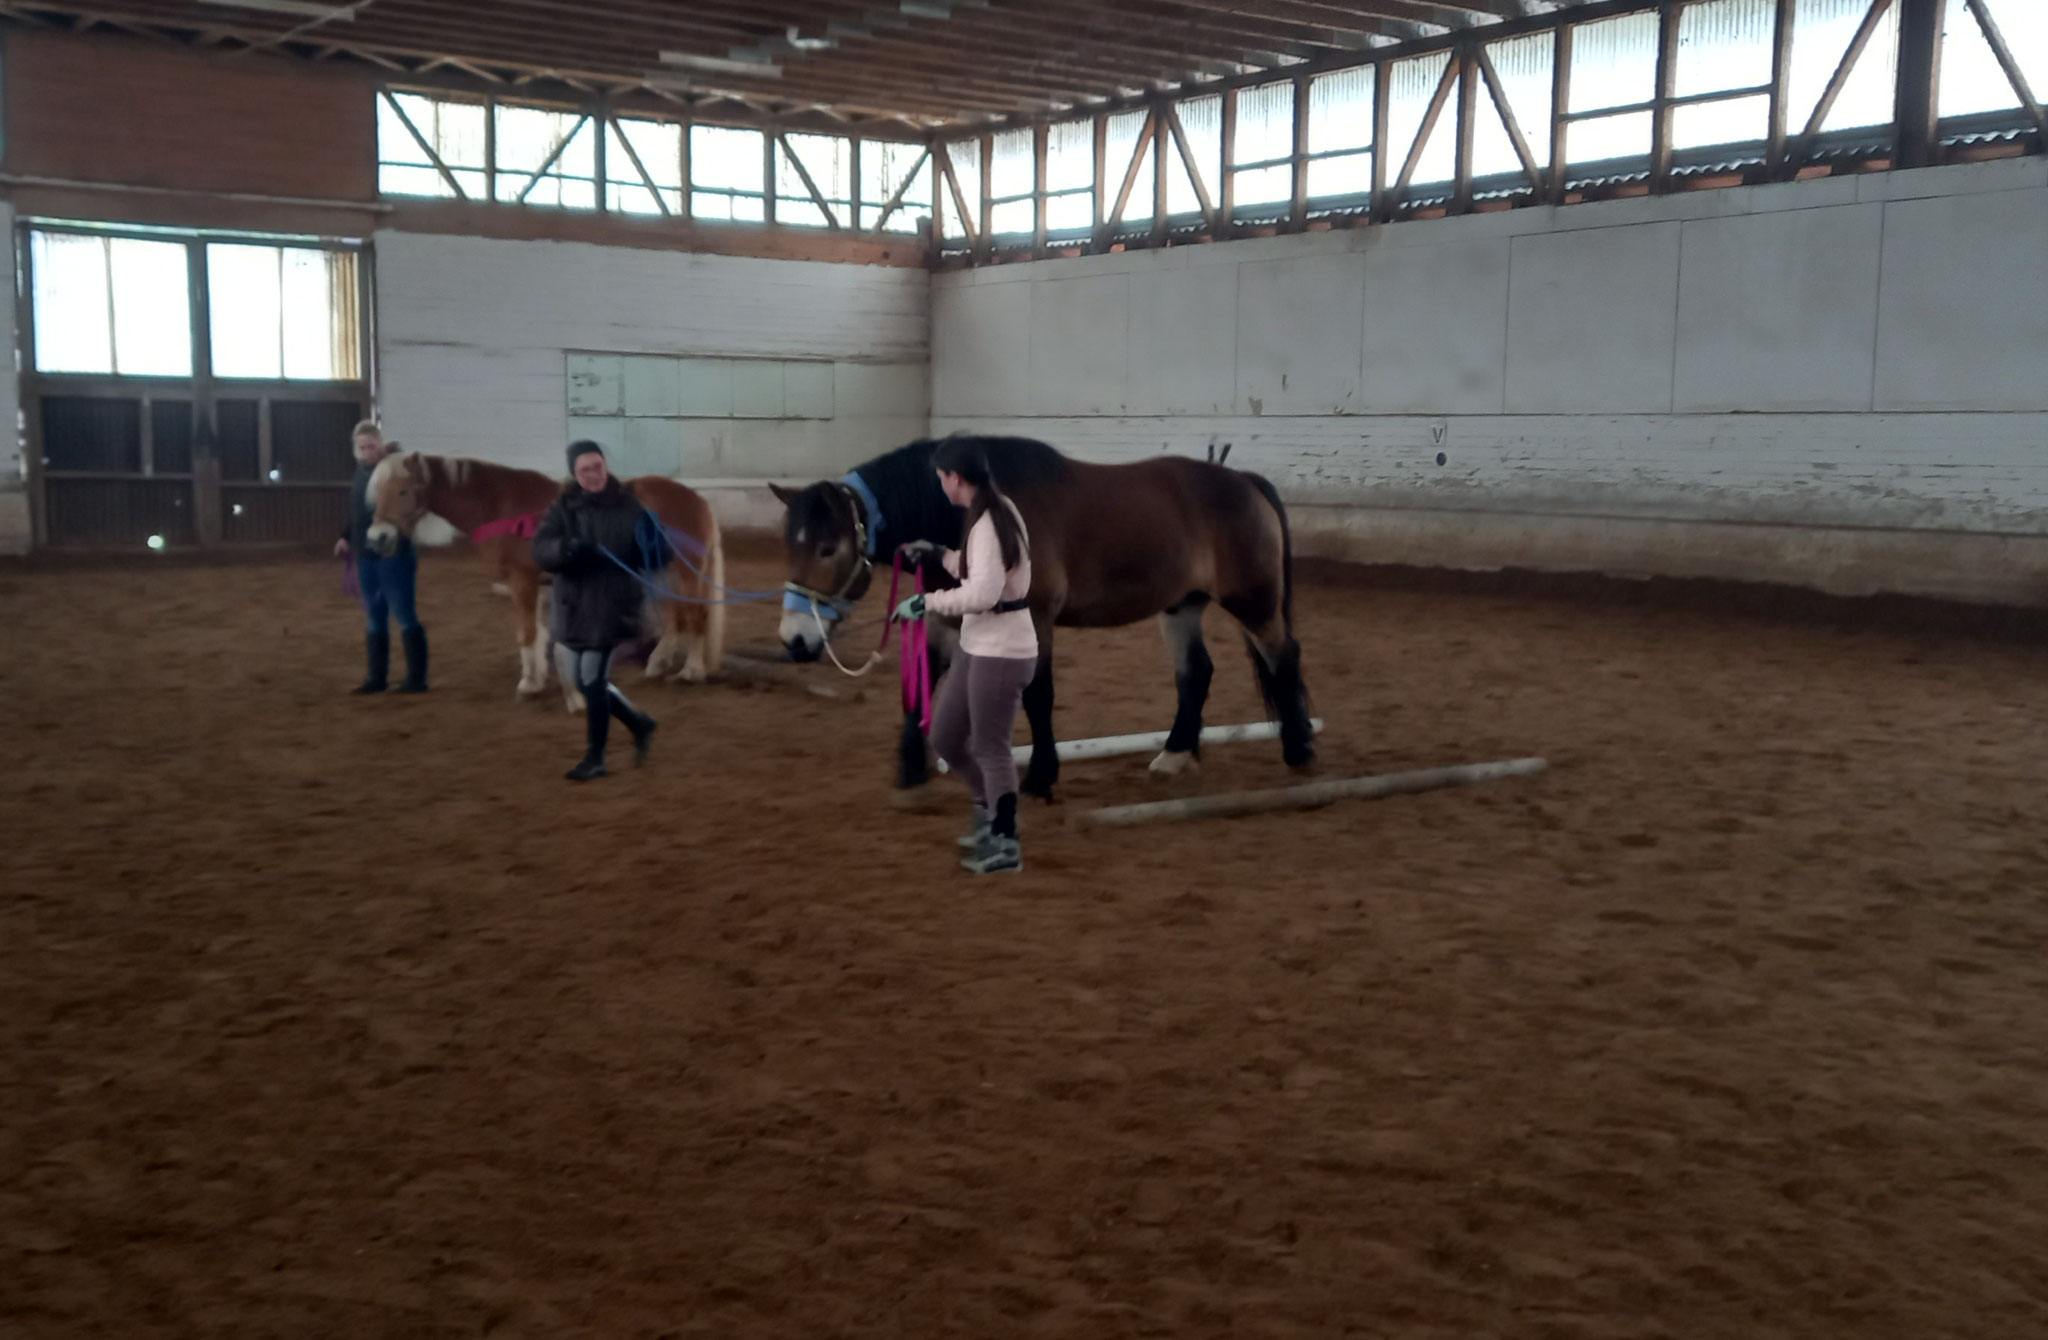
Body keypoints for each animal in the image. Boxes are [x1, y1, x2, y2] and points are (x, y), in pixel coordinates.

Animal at [362, 454, 729, 708]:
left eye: (403, 491)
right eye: (377, 491)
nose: (378, 538)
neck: (498, 506)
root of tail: (696, 500)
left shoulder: (521, 580)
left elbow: (526, 633)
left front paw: (528, 684)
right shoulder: (536, 586)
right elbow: (537, 634)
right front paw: (538, 676)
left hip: (682, 573)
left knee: (695, 616)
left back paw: (691, 671)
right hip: (661, 574)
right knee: (676, 618)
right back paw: (658, 664)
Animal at [770, 438, 1310, 799]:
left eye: (827, 547)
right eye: (790, 546)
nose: (794, 641)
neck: (978, 514)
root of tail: (1244, 482)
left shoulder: (1033, 617)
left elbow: (1037, 697)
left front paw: (1039, 776)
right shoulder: (946, 618)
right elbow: (921, 682)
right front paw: (911, 767)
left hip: (1254, 603)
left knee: (1283, 658)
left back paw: (1300, 751)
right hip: (1182, 606)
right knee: (1195, 674)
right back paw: (1176, 755)